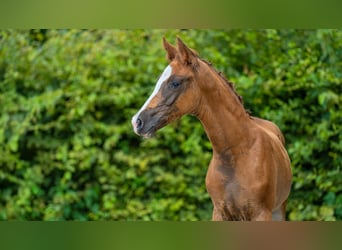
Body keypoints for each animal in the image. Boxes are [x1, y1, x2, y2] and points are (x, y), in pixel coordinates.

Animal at [132, 36, 292, 221]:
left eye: (175, 82)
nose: (137, 122)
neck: (236, 153)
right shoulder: (220, 212)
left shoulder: (261, 213)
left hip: (279, 209)